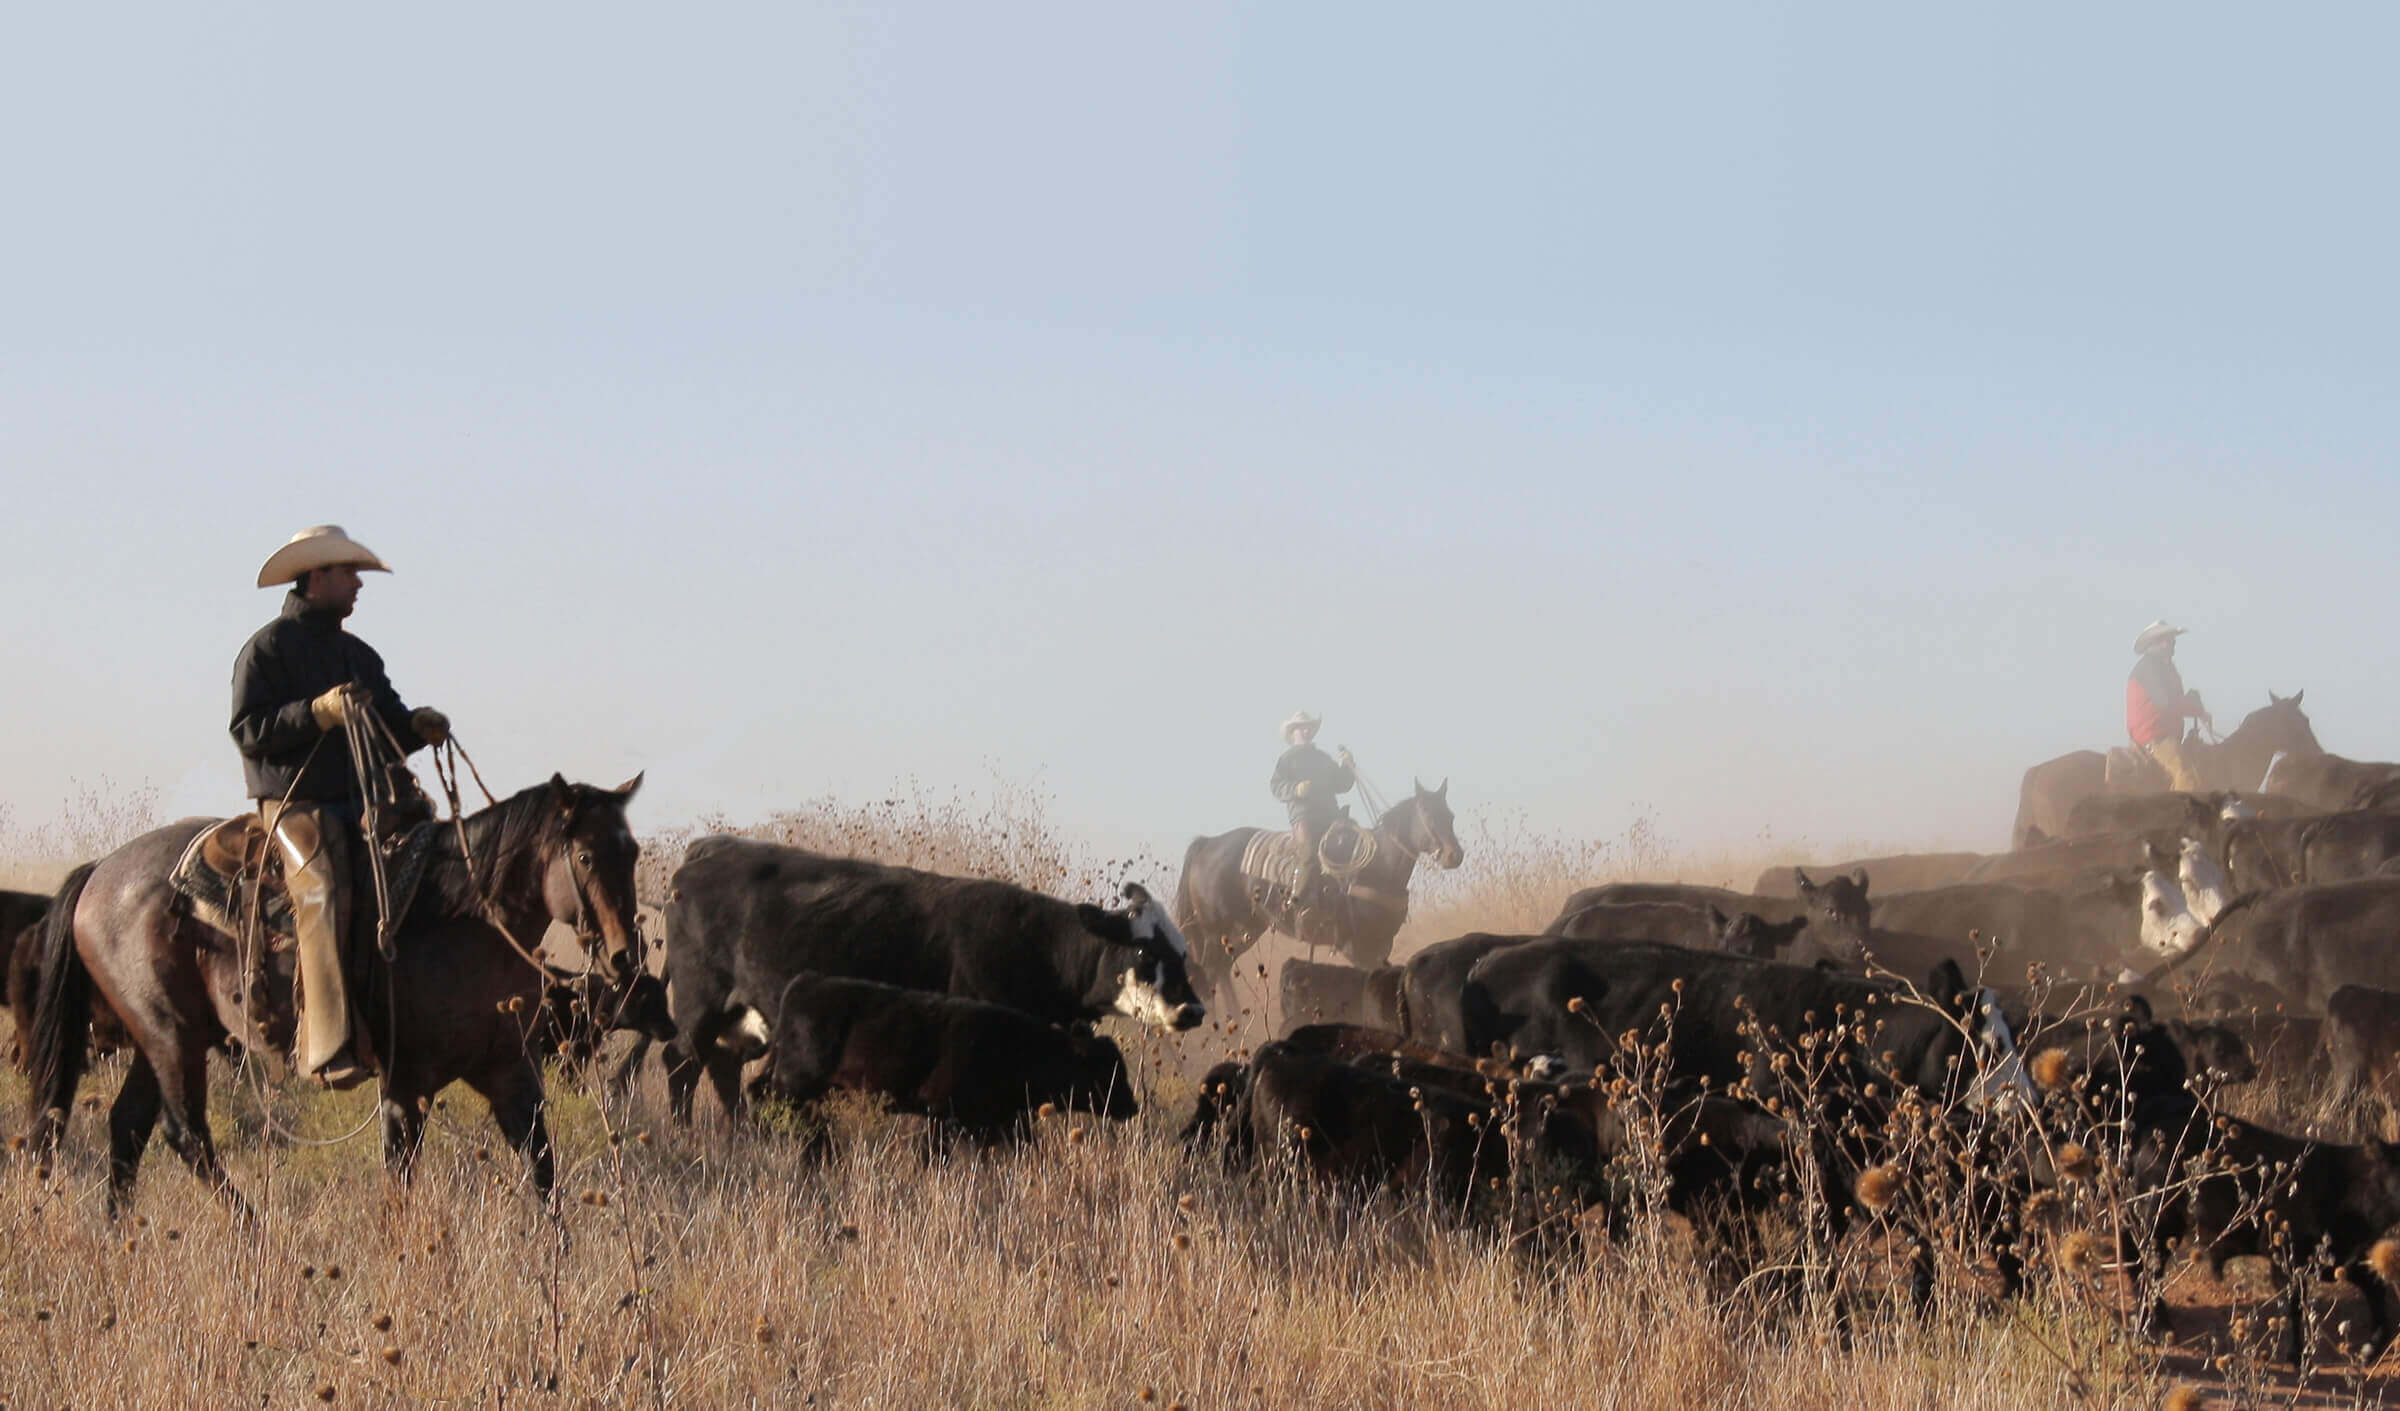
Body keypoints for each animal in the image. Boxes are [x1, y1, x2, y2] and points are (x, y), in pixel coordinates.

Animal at [25, 772, 648, 1214]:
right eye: (586, 855)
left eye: (633, 852)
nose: (626, 956)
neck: (458, 918)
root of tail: (101, 871)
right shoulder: (405, 1084)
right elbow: (398, 1182)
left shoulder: (509, 1070)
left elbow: (543, 1168)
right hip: (168, 1035)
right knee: (186, 1135)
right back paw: (255, 1234)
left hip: (165, 1037)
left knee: (128, 1127)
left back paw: (119, 1236)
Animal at [657, 839, 1200, 1123]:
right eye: (1145, 950)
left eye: (1183, 953)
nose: (1191, 1010)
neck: (1035, 943)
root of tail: (708, 851)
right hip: (700, 1002)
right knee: (680, 1063)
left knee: (721, 1070)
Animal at [768, 974, 1142, 1151]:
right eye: (1106, 1071)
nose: (1132, 1105)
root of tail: (806, 980)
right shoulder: (941, 1114)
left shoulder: (1001, 1123)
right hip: (797, 1088)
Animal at [1166, 782, 1459, 1012]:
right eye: (1428, 816)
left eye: (1450, 816)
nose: (1454, 855)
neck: (1376, 868)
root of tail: (1207, 843)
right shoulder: (1356, 948)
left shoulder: (1382, 944)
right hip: (1215, 933)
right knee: (1208, 977)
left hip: (1243, 931)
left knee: (1220, 973)